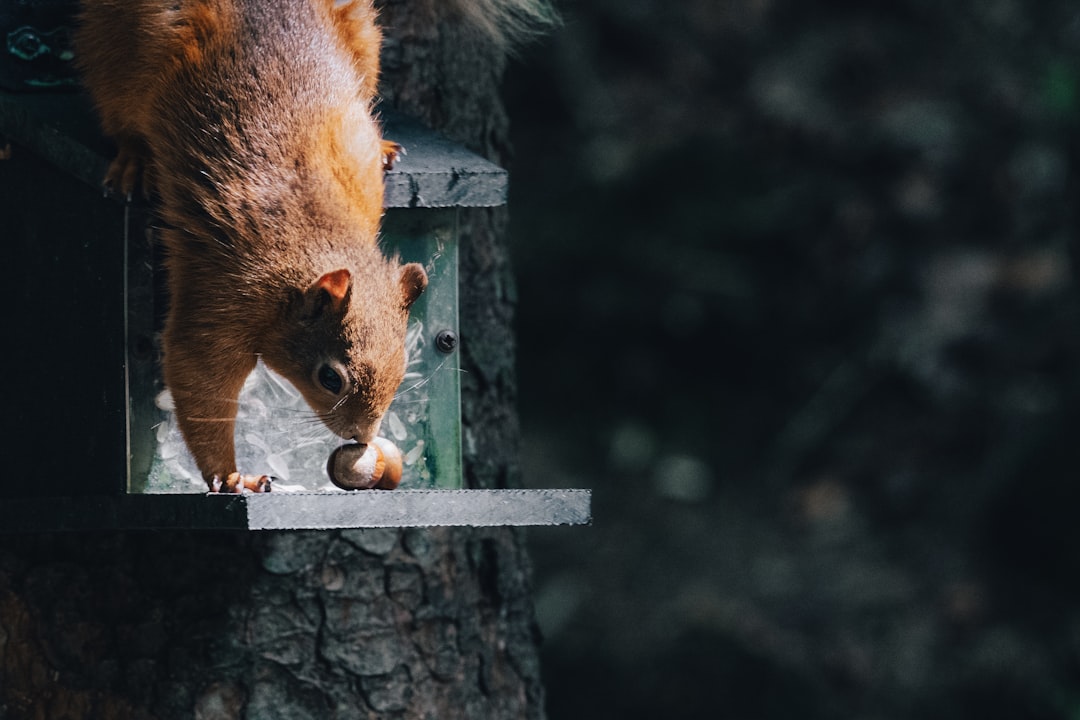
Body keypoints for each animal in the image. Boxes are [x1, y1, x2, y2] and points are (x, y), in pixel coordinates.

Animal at [73, 0, 557, 496]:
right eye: (329, 378)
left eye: (403, 367)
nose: (360, 436)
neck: (311, 234)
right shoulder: (229, 290)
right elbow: (200, 372)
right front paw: (231, 476)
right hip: (121, 52)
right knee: (120, 109)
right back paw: (133, 158)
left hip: (363, 34)